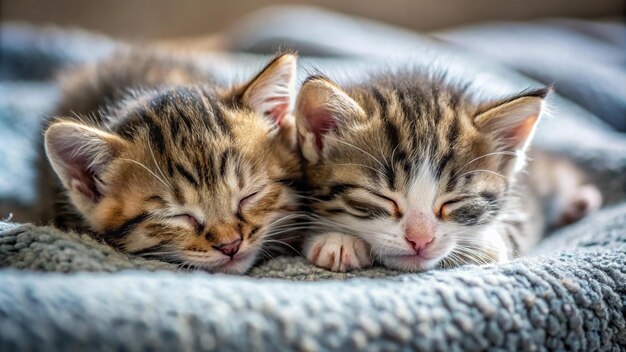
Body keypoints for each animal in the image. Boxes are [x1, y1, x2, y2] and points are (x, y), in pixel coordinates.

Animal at [294, 73, 604, 272]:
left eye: (455, 201)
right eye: (382, 198)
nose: (420, 240)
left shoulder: (521, 205)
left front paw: (484, 245)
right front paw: (337, 239)